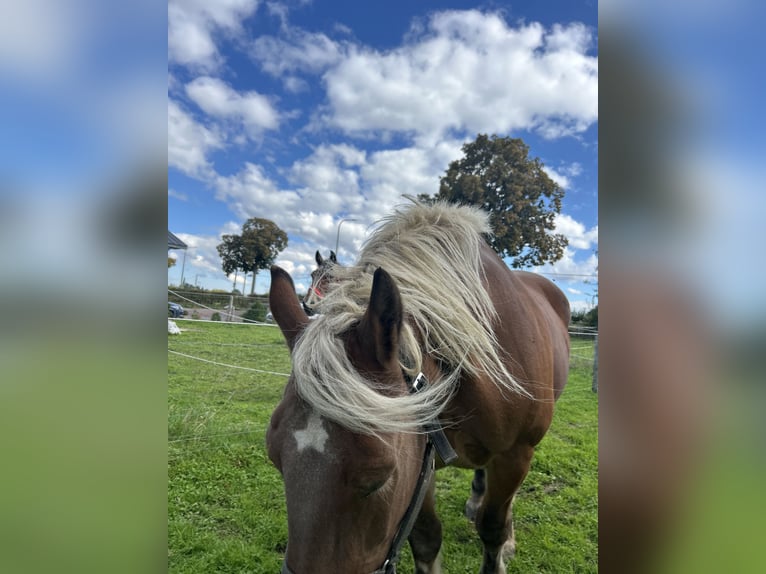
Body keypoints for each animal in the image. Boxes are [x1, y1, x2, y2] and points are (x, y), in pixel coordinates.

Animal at [267, 202, 570, 574]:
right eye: (275, 457)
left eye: (379, 477)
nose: (309, 302)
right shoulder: (422, 457)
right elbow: (426, 538)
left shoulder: (516, 454)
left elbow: (492, 528)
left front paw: (502, 540)